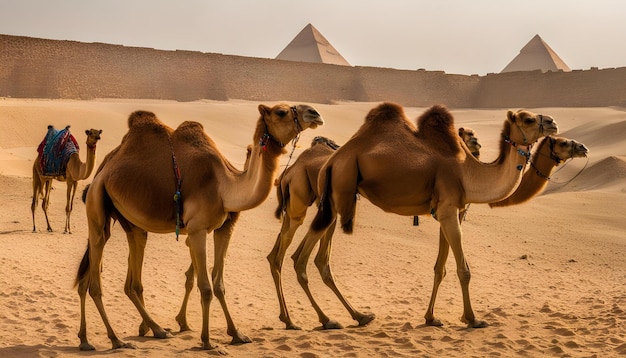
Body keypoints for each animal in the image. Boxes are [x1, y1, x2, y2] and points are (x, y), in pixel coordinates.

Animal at [74, 103, 322, 350]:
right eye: (281, 112)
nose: (315, 114)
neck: (226, 187)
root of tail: (101, 171)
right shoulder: (197, 229)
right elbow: (205, 287)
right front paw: (207, 340)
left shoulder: (225, 228)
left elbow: (219, 284)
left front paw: (237, 334)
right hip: (97, 208)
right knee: (95, 280)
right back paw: (117, 339)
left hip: (131, 224)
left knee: (126, 280)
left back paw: (134, 333)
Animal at [286, 100, 552, 330]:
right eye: (528, 119)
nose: (552, 122)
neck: (467, 172)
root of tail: (330, 162)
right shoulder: (448, 210)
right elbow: (463, 270)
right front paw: (473, 319)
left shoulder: (446, 211)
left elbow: (439, 268)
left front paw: (432, 318)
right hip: (337, 189)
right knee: (300, 260)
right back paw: (327, 320)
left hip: (331, 201)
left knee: (309, 257)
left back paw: (358, 316)